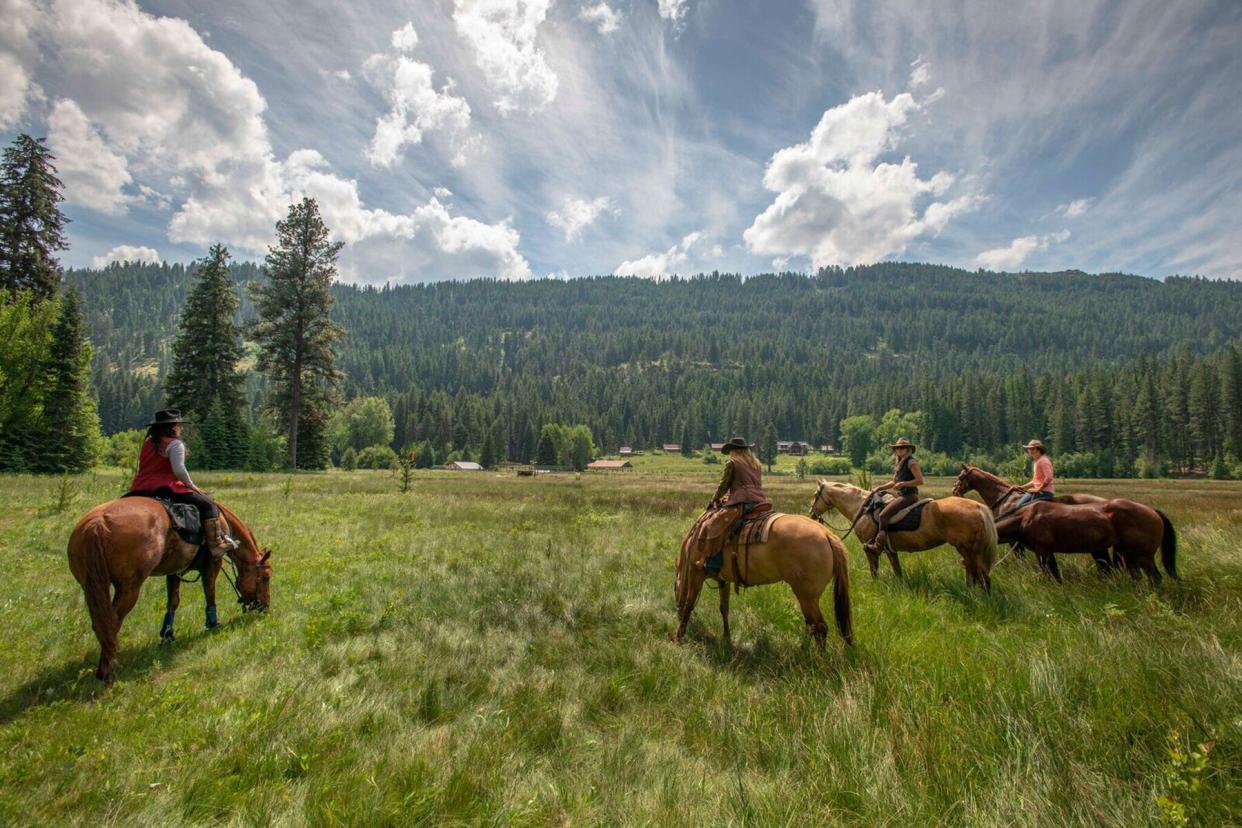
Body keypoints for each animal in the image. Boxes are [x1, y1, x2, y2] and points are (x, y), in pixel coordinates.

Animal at [66, 496, 270, 685]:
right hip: (129, 588)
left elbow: (173, 601)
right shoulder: (213, 564)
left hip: (93, 588)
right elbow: (209, 592)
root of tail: (99, 523)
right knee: (112, 622)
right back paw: (109, 670)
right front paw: (213, 624)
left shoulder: (175, 569)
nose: (265, 607)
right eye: (266, 577)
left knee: (101, 623)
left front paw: (167, 635)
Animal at [670, 513, 854, 650]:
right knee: (812, 625)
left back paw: (819, 660)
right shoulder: (724, 580)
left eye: (674, 588)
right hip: (808, 597)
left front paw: (678, 637)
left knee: (819, 627)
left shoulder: (695, 573)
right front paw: (726, 637)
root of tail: (827, 534)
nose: (676, 611)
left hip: (807, 596)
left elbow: (689, 603)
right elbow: (724, 608)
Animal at [804, 481, 998, 593]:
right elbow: (897, 571)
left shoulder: (870, 548)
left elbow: (874, 571)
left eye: (815, 495)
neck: (862, 508)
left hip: (969, 550)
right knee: (974, 573)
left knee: (982, 576)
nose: (812, 513)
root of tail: (979, 507)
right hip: (969, 552)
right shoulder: (891, 550)